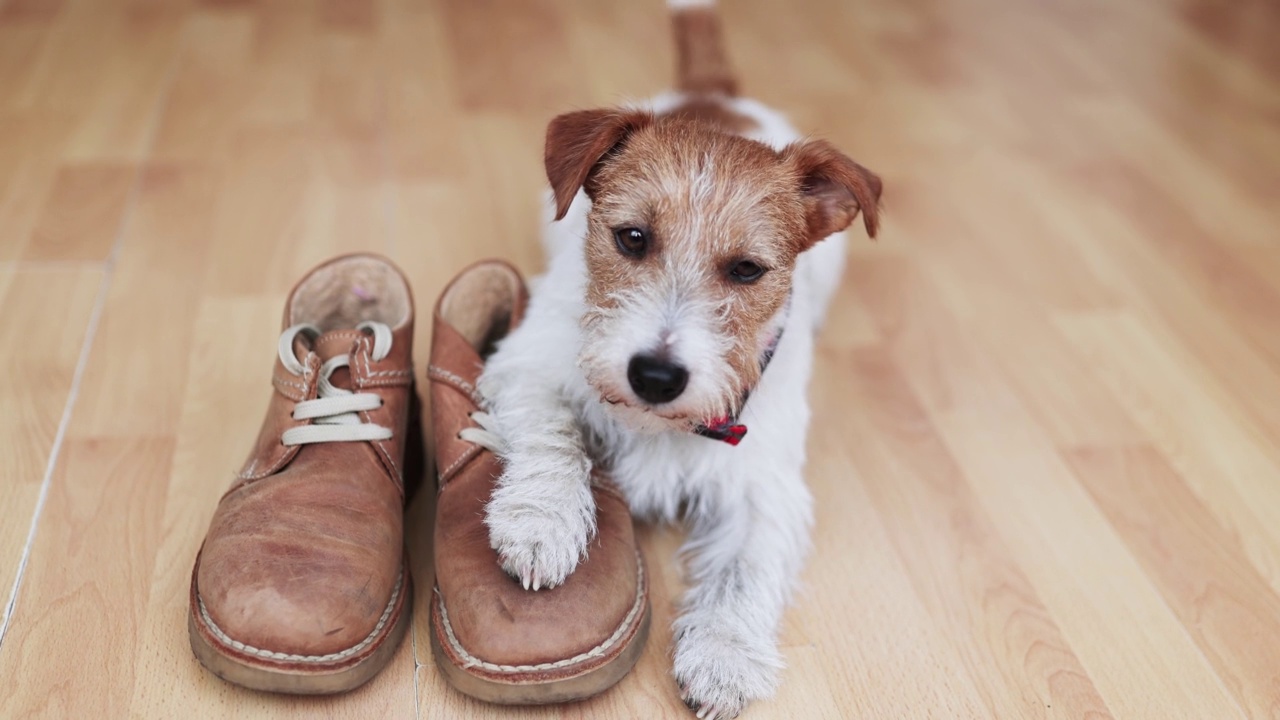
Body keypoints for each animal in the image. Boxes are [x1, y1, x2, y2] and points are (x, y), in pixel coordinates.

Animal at [471, 2, 880, 712]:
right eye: (633, 237)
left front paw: (724, 656)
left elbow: (745, 569)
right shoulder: (527, 367)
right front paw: (544, 523)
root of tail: (715, 94)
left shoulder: (764, 486)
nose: (656, 376)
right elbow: (555, 436)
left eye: (746, 270)